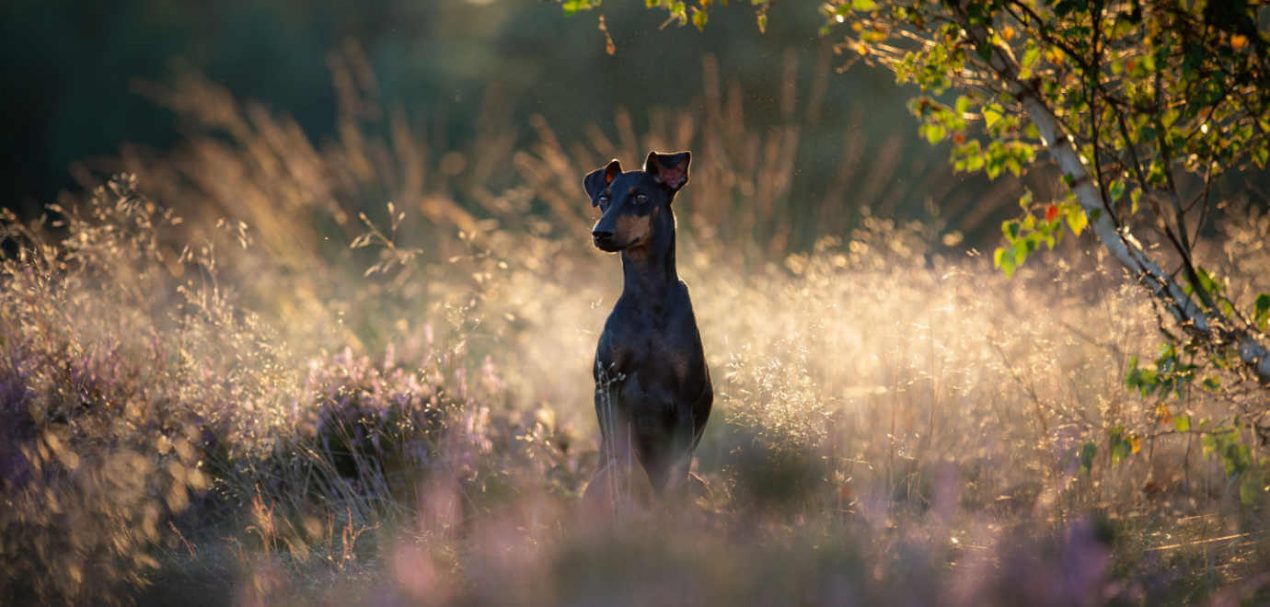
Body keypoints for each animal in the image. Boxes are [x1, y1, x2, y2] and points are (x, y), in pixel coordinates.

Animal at [581, 151, 711, 502]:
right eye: (603, 200)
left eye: (640, 197)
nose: (600, 233)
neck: (649, 300)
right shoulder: (606, 387)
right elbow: (625, 462)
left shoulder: (684, 403)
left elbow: (675, 476)